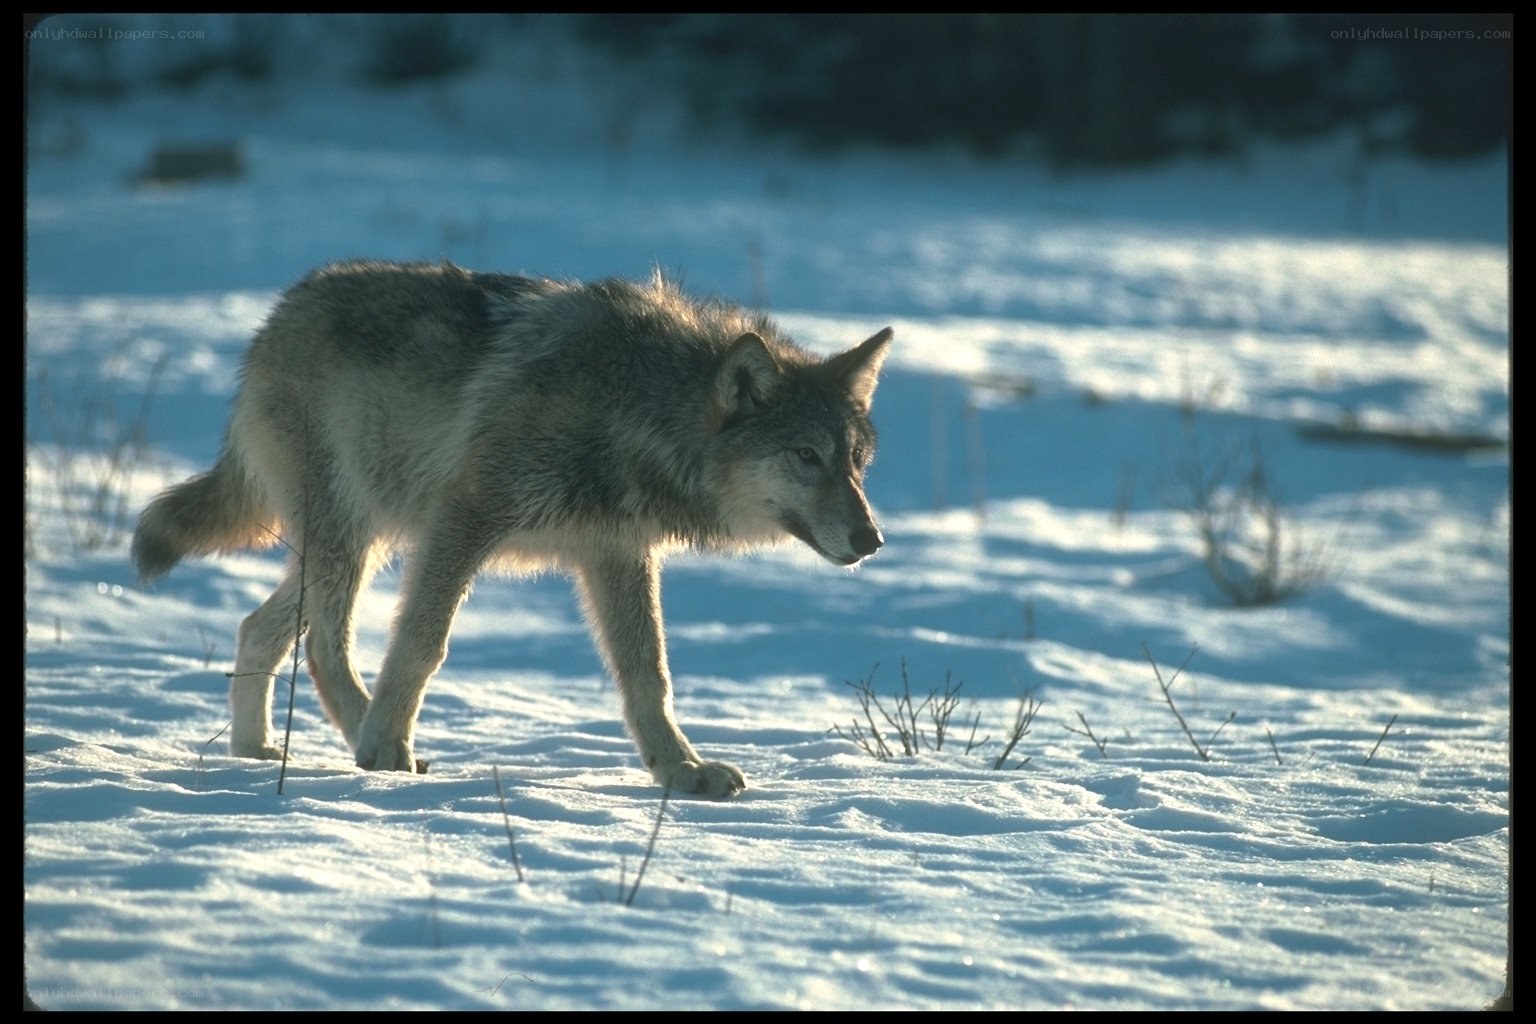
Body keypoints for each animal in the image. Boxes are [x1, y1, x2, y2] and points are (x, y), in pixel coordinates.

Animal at [132, 260, 891, 797]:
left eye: (857, 463)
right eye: (806, 457)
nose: (873, 540)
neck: (634, 406)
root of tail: (278, 314)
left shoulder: (619, 554)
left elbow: (649, 675)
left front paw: (681, 771)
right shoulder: (465, 519)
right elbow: (422, 647)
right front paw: (389, 747)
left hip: (353, 546)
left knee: (256, 628)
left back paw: (256, 752)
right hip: (353, 539)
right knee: (323, 645)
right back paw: (370, 747)